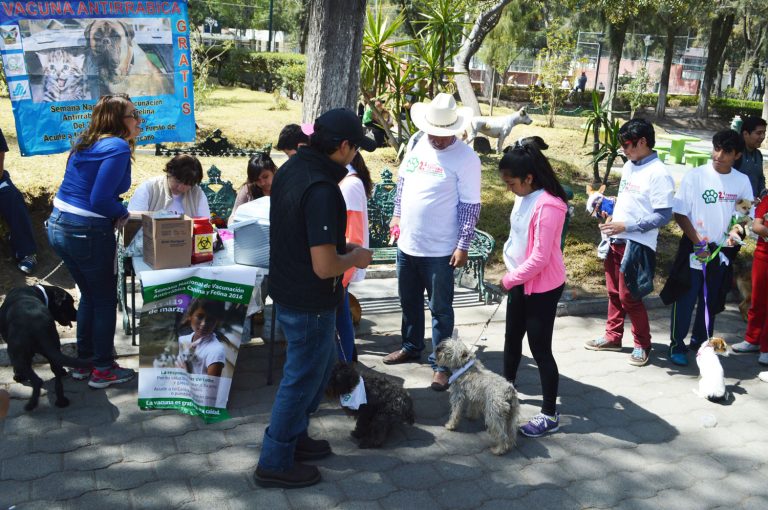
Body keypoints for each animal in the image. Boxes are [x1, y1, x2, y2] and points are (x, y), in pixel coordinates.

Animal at [0, 284, 88, 412]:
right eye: (70, 303)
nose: (77, 315)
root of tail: (37, 325)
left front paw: (18, 376)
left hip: (16, 354)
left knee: (37, 381)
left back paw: (31, 405)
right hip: (54, 348)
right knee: (57, 378)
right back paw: (61, 401)